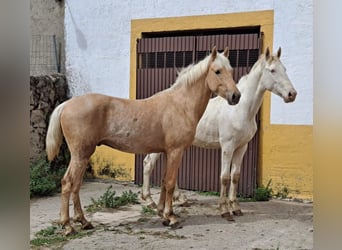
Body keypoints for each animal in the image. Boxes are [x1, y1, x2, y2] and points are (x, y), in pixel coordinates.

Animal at [46, 46, 240, 234]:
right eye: (217, 71)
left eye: (231, 70)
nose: (236, 96)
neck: (180, 105)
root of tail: (66, 105)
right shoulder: (175, 151)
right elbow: (170, 183)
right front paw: (171, 217)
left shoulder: (166, 152)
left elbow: (164, 182)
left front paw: (162, 214)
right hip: (81, 154)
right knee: (68, 183)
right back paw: (68, 226)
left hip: (83, 155)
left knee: (75, 185)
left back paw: (84, 222)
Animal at [141, 47, 296, 221]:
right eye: (272, 70)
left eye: (285, 69)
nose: (292, 94)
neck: (241, 110)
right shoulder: (228, 146)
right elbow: (224, 177)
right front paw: (224, 210)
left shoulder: (242, 147)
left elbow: (235, 176)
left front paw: (236, 207)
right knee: (148, 164)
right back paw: (150, 201)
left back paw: (180, 199)